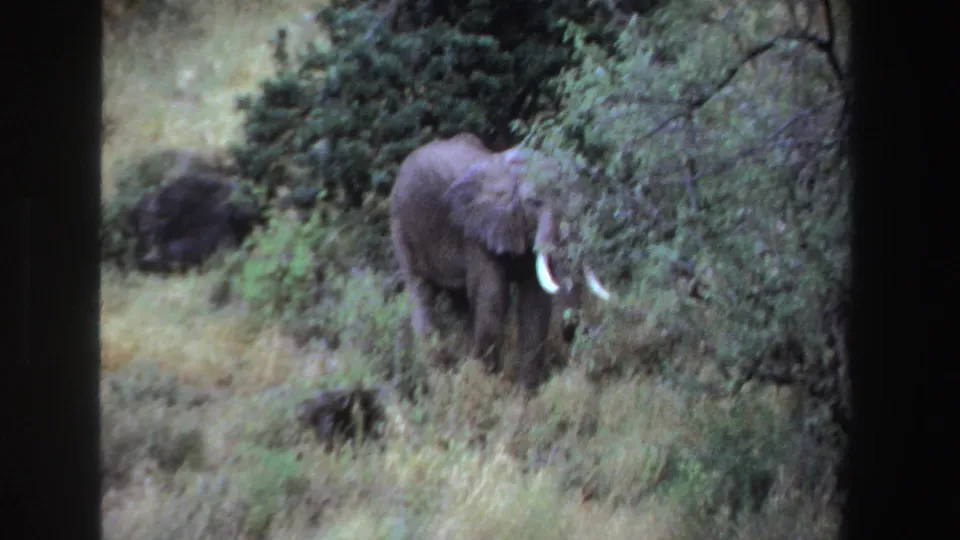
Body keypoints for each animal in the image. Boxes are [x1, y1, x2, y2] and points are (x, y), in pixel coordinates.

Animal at [389, 132, 612, 389]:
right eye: (534, 202)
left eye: (582, 203)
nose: (575, 330)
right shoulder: (475, 232)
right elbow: (492, 297)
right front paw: (489, 386)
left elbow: (535, 303)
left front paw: (525, 393)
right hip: (402, 226)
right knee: (420, 290)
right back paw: (436, 370)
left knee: (461, 302)